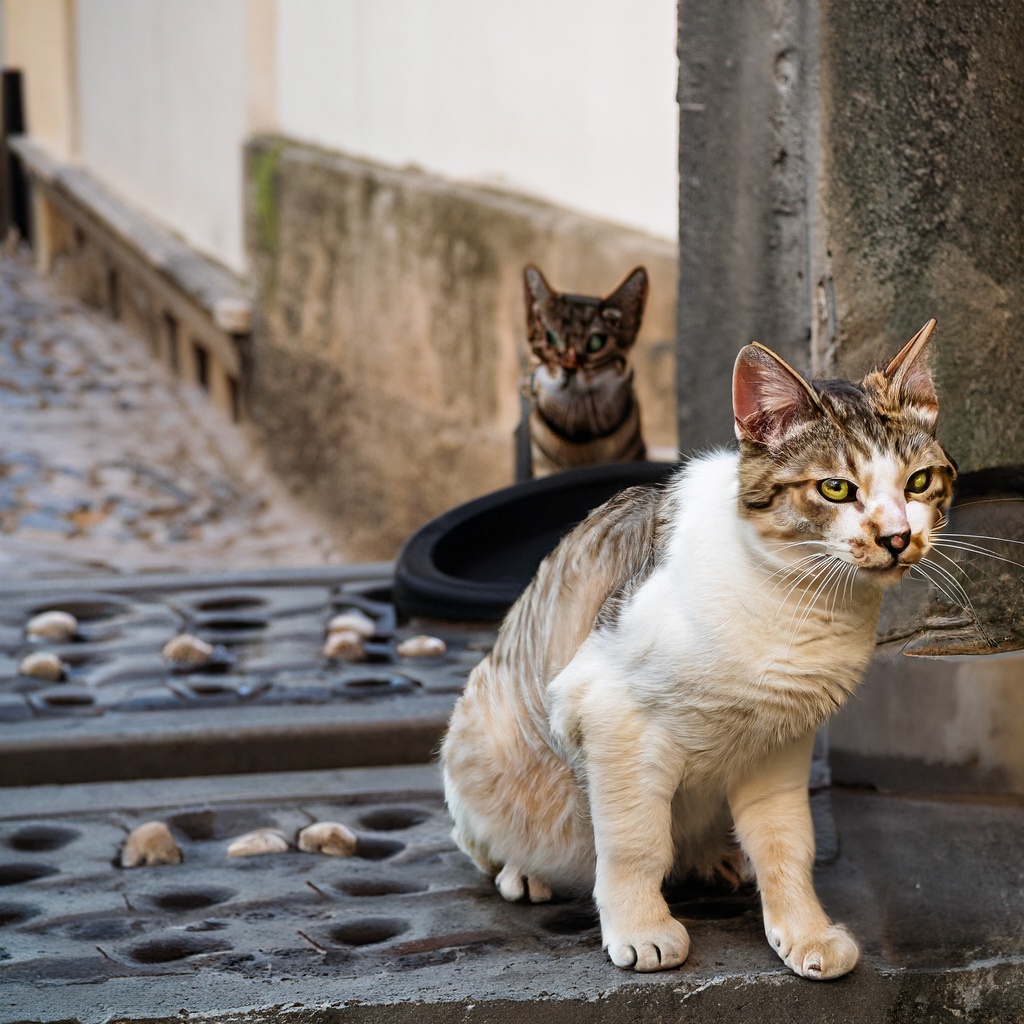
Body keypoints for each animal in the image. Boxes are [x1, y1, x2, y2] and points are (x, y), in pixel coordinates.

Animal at [444, 319, 954, 974]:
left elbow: (788, 843)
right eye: (836, 489)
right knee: (481, 840)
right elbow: (635, 841)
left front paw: (804, 932)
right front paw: (641, 928)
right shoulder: (607, 711)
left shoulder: (781, 740)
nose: (897, 536)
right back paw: (525, 871)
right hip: (478, 739)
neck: (805, 607)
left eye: (918, 482)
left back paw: (713, 858)